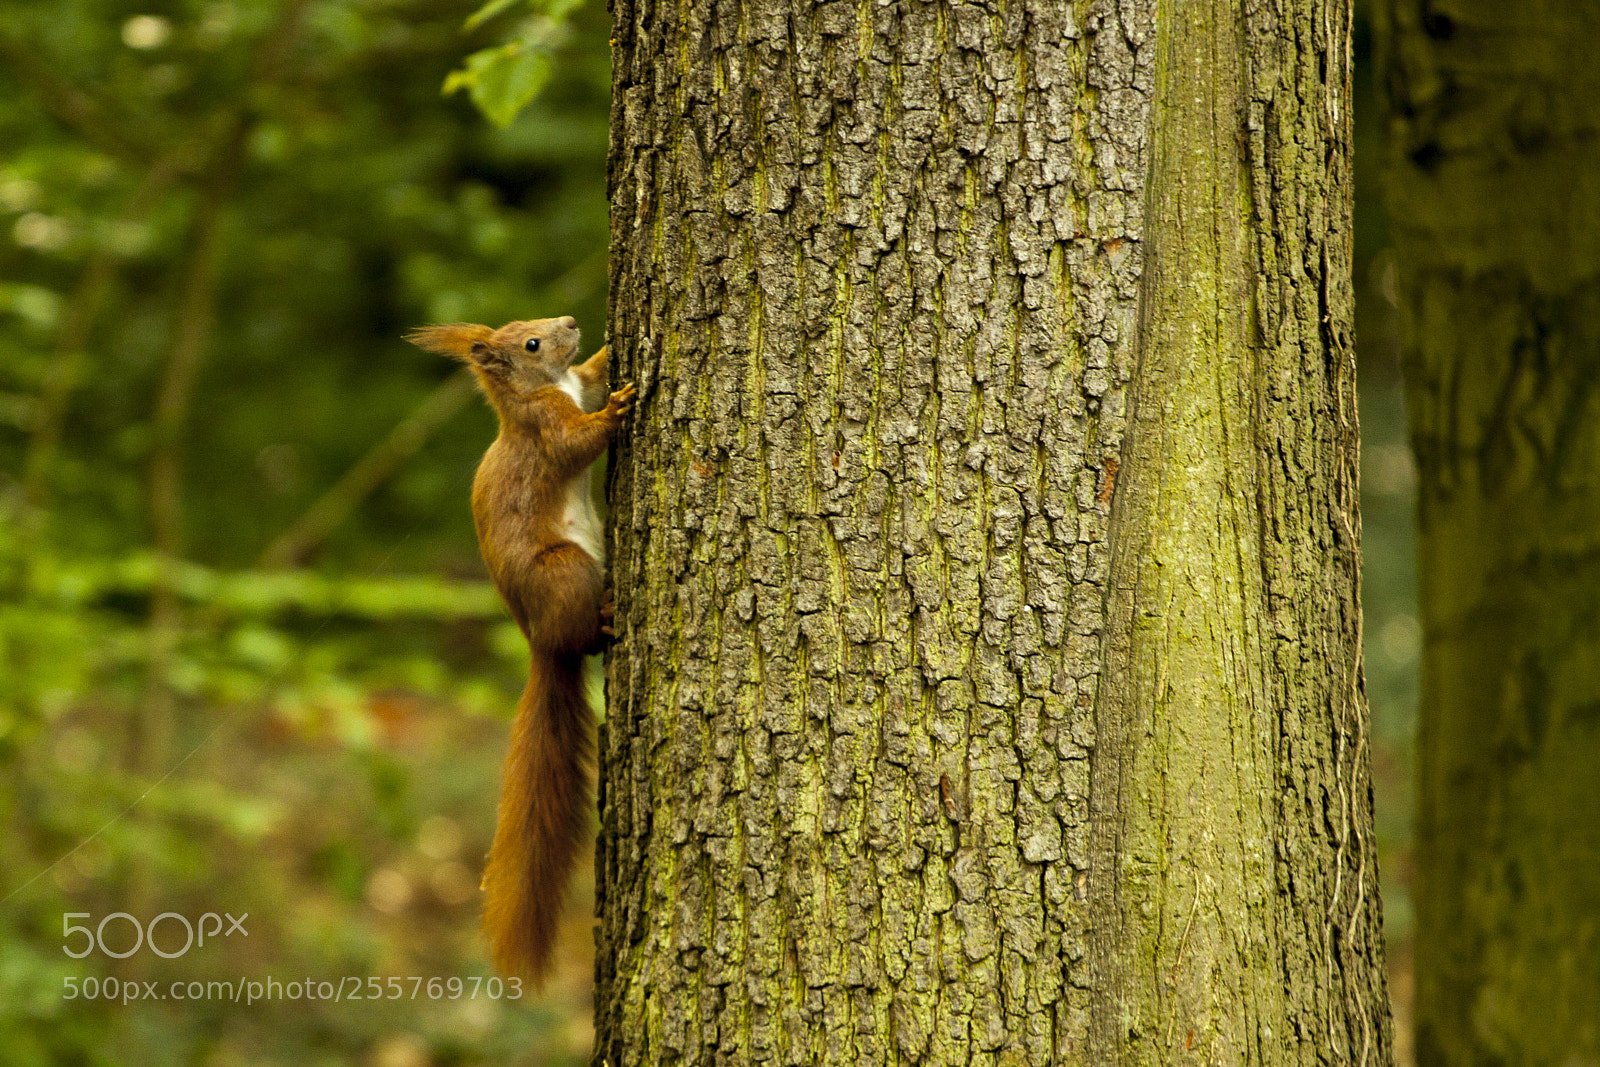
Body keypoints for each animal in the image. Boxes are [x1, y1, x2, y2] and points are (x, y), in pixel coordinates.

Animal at [407, 316, 634, 985]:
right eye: (529, 344)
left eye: (534, 327)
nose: (569, 323)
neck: (541, 389)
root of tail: (541, 641)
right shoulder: (547, 427)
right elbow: (576, 444)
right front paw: (617, 410)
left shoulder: (574, 383)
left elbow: (591, 373)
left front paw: (604, 351)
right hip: (567, 573)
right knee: (585, 637)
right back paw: (605, 621)